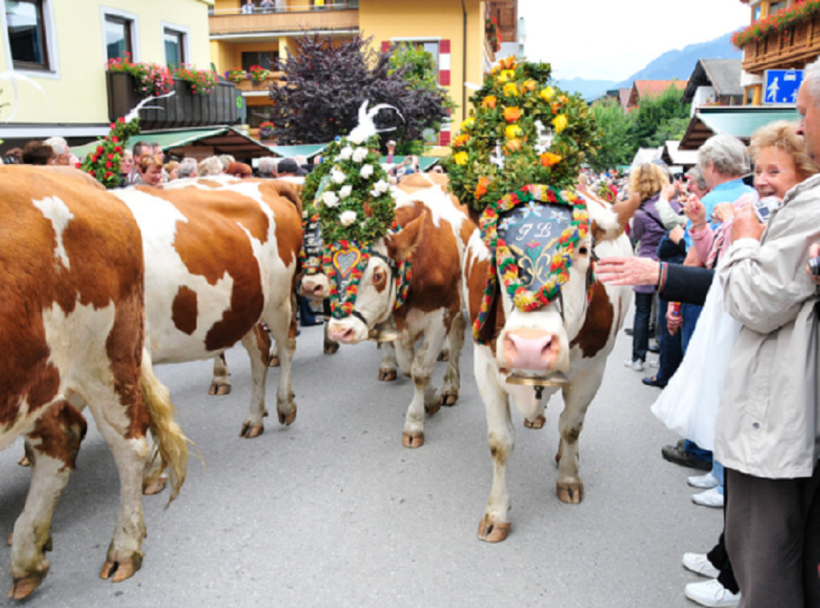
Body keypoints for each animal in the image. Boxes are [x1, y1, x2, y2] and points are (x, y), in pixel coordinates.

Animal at [0, 167, 189, 600]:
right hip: (37, 380)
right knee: (62, 438)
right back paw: (28, 558)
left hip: (103, 357)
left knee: (128, 444)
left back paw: (123, 549)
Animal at [108, 176, 302, 436]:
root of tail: (267, 183)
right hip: (244, 305)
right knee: (259, 347)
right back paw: (254, 417)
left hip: (277, 302)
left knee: (286, 344)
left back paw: (284, 404)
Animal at [324, 179, 470, 446]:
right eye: (330, 268)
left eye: (378, 275)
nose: (340, 331)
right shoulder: (398, 321)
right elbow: (407, 366)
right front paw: (429, 401)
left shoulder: (442, 314)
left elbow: (421, 370)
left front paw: (414, 423)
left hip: (458, 303)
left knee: (456, 342)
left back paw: (451, 387)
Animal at [464, 186, 632, 540]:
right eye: (498, 252)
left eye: (583, 250)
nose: (530, 345)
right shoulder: (484, 366)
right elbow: (500, 442)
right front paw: (496, 514)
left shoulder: (593, 371)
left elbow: (571, 426)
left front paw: (569, 477)